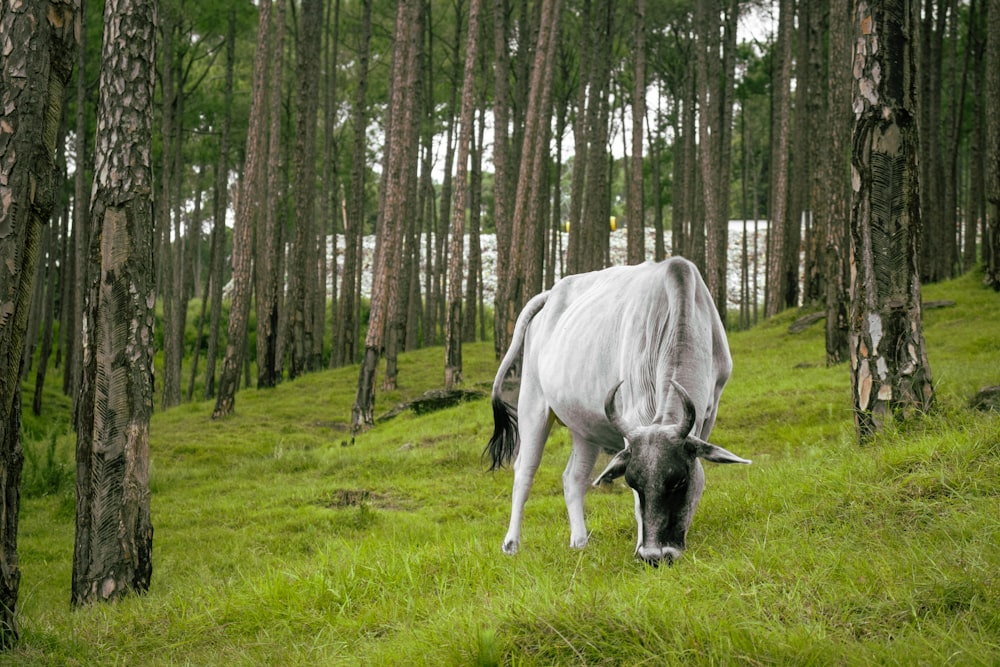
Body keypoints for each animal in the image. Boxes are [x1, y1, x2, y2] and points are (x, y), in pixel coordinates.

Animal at [484, 256, 752, 564]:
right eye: (633, 482)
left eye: (678, 481)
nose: (653, 556)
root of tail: (550, 294)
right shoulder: (634, 415)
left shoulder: (710, 410)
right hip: (533, 403)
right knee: (524, 472)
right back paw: (511, 544)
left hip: (584, 426)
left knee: (574, 477)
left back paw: (579, 542)